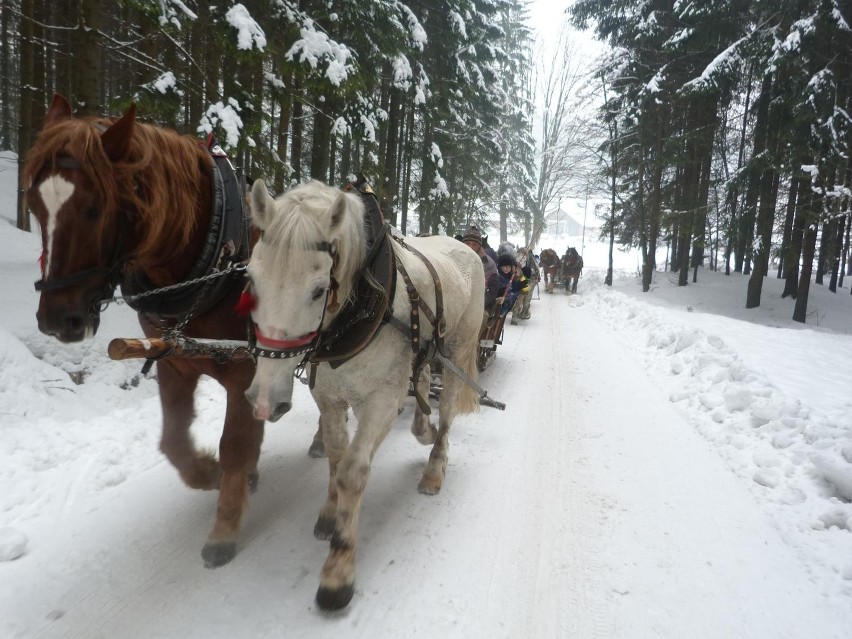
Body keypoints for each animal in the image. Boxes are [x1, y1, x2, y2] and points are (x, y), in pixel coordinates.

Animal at [25, 94, 262, 564]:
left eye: (95, 208)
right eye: (36, 206)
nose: (57, 320)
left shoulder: (244, 366)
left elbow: (234, 442)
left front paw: (225, 526)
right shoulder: (172, 360)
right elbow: (172, 441)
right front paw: (208, 471)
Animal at [243, 179, 490, 608]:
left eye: (318, 290)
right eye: (252, 281)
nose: (263, 401)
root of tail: (464, 246)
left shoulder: (381, 400)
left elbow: (353, 471)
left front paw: (338, 572)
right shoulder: (328, 397)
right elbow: (335, 457)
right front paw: (330, 513)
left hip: (458, 347)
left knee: (447, 410)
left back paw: (434, 466)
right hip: (425, 348)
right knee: (423, 380)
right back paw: (422, 429)